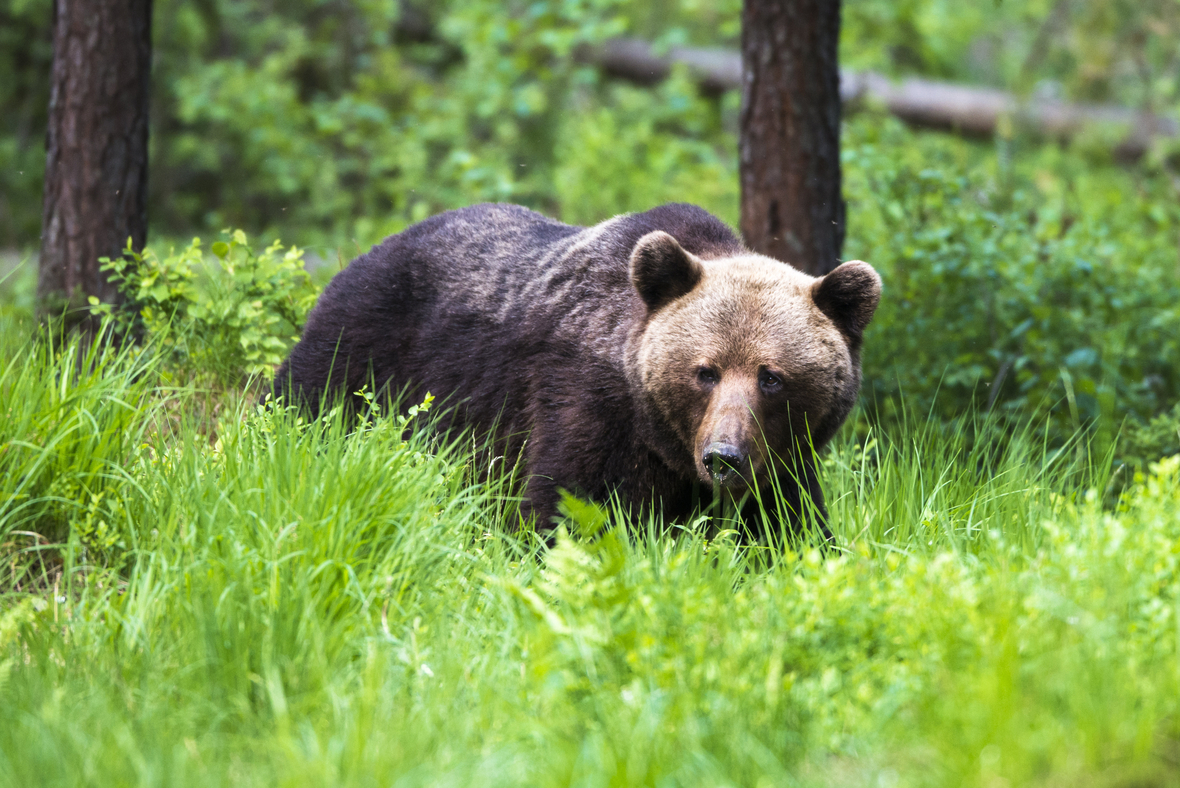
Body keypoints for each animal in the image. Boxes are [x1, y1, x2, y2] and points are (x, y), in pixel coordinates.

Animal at [273, 200, 877, 537]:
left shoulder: (779, 459)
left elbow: (785, 532)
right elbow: (572, 507)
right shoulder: (586, 404)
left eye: (771, 376)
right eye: (705, 371)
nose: (723, 457)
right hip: (364, 354)